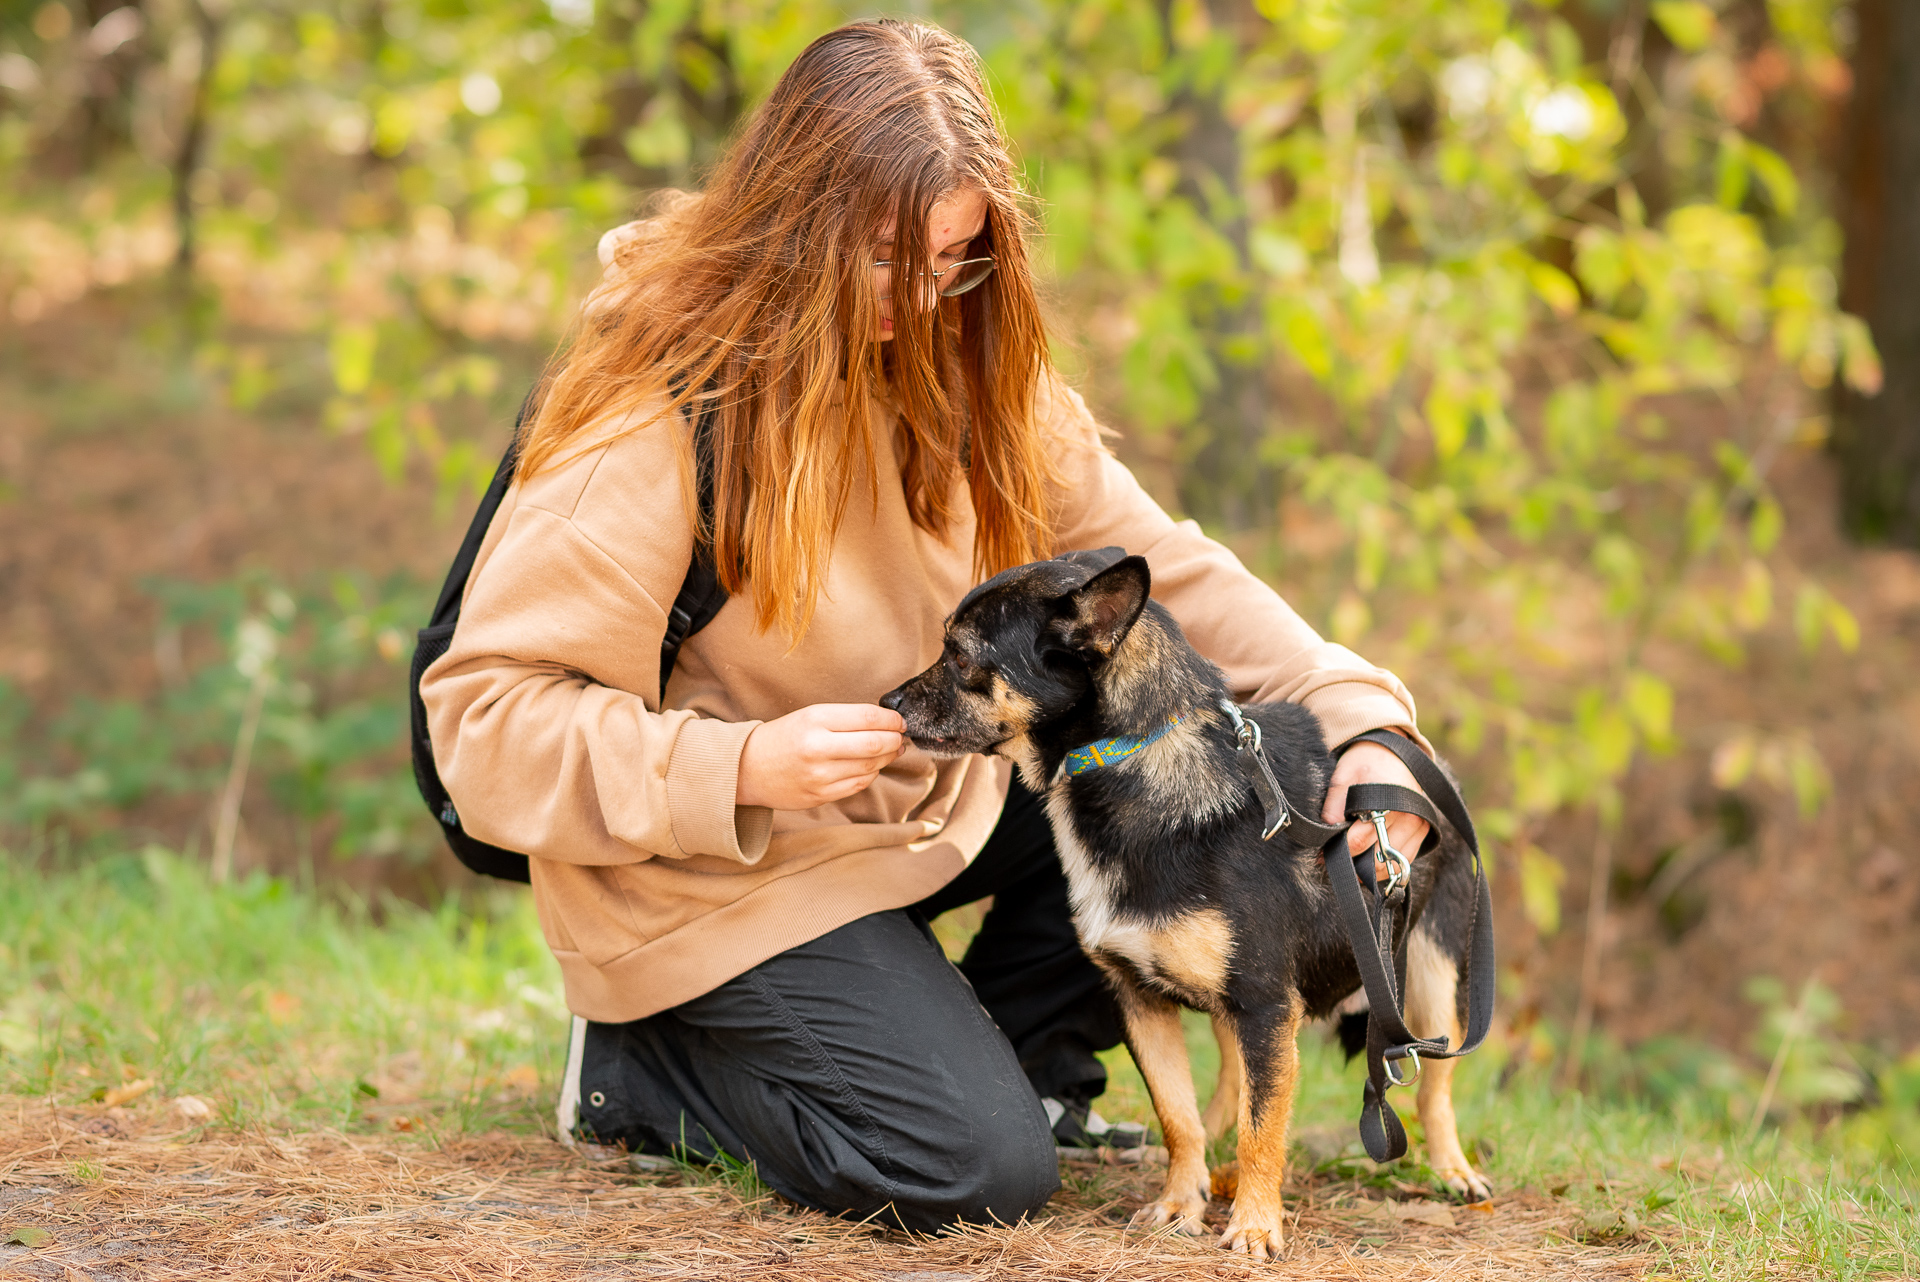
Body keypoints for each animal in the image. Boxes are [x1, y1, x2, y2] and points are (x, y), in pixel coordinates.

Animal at [879, 545, 1489, 1258]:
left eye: (959, 654)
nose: (887, 702)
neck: (1129, 756)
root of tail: (1428, 764)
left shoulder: (1264, 1003)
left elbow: (1263, 1129)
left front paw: (1254, 1226)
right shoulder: (1143, 1001)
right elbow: (1179, 1115)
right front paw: (1181, 1201)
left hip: (1432, 977)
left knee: (1434, 1087)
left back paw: (1453, 1172)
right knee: (1229, 1085)